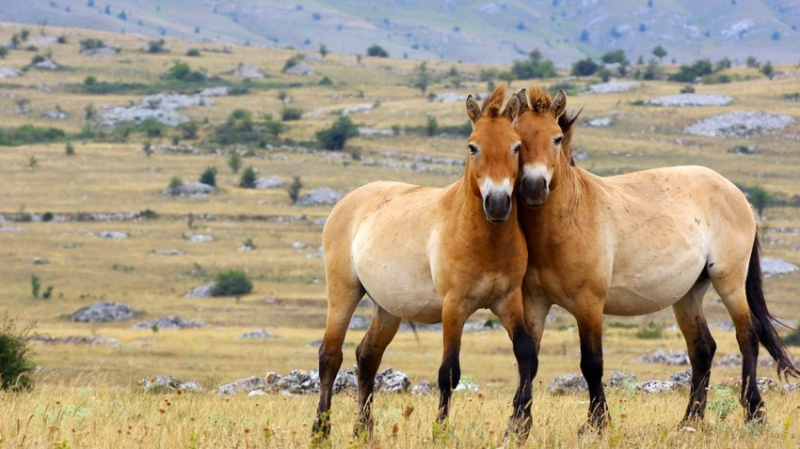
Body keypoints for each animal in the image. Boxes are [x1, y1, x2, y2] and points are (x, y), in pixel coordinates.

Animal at [312, 86, 536, 440]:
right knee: (330, 356)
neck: (483, 240)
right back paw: (320, 429)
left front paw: (520, 427)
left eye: (516, 146)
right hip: (343, 292)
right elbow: (449, 372)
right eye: (473, 147)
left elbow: (525, 353)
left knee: (367, 356)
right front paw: (440, 430)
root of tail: (347, 201)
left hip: (388, 307)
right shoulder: (454, 307)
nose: (498, 203)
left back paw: (364, 431)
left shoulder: (507, 300)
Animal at [512, 86, 800, 428]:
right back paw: (690, 420)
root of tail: (737, 193)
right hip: (689, 294)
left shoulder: (589, 304)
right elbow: (528, 360)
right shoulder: (534, 303)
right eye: (516, 139)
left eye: (556, 138)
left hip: (729, 281)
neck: (568, 219)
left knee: (748, 337)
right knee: (703, 349)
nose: (533, 187)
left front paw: (597, 424)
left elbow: (592, 363)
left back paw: (754, 412)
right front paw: (518, 424)